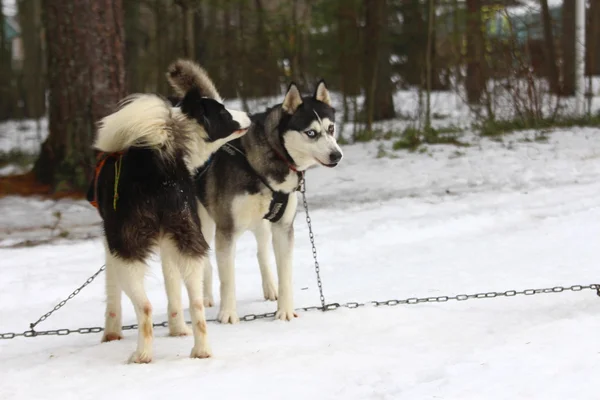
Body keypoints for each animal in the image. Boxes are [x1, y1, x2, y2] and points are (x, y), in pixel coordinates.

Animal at [90, 59, 250, 362]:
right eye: (224, 111)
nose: (248, 115)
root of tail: (162, 165)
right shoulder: (168, 245)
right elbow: (174, 293)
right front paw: (177, 330)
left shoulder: (109, 245)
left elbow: (112, 296)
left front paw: (111, 334)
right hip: (189, 242)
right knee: (196, 304)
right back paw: (201, 350)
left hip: (126, 252)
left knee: (146, 308)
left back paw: (141, 354)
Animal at [166, 79, 342, 324]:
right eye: (311, 133)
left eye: (331, 129)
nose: (337, 155)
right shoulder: (227, 230)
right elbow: (227, 279)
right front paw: (228, 314)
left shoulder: (282, 227)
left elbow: (285, 274)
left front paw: (285, 311)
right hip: (200, 224)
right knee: (205, 262)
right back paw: (206, 297)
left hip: (261, 223)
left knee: (261, 252)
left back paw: (270, 287)